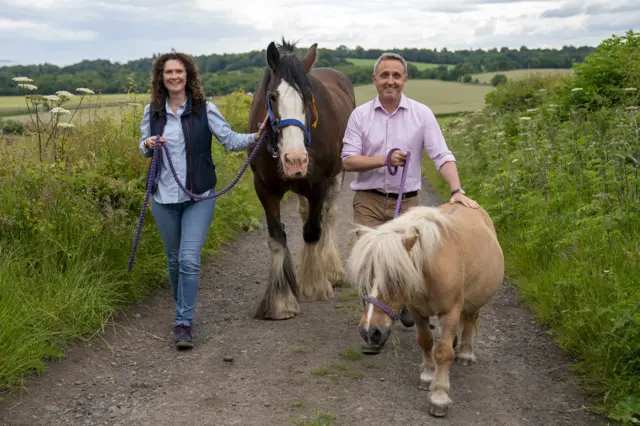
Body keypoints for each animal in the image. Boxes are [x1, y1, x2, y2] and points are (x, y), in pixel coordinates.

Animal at [246, 39, 356, 320]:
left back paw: (331, 269)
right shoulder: (264, 188)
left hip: (337, 175)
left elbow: (312, 231)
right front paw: (280, 300)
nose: (295, 159)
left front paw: (314, 284)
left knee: (329, 217)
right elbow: (277, 237)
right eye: (273, 97)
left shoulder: (318, 185)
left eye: (308, 98)